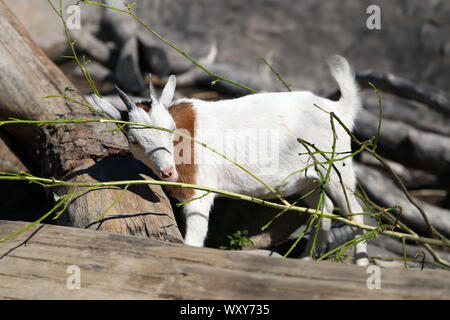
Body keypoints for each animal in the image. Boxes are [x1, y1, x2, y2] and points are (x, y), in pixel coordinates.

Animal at [92, 54, 370, 264]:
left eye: (171, 128)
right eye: (133, 140)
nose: (169, 172)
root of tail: (339, 109)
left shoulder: (199, 193)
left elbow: (193, 241)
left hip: (338, 168)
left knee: (356, 215)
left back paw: (361, 264)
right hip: (307, 178)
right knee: (323, 209)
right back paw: (307, 258)